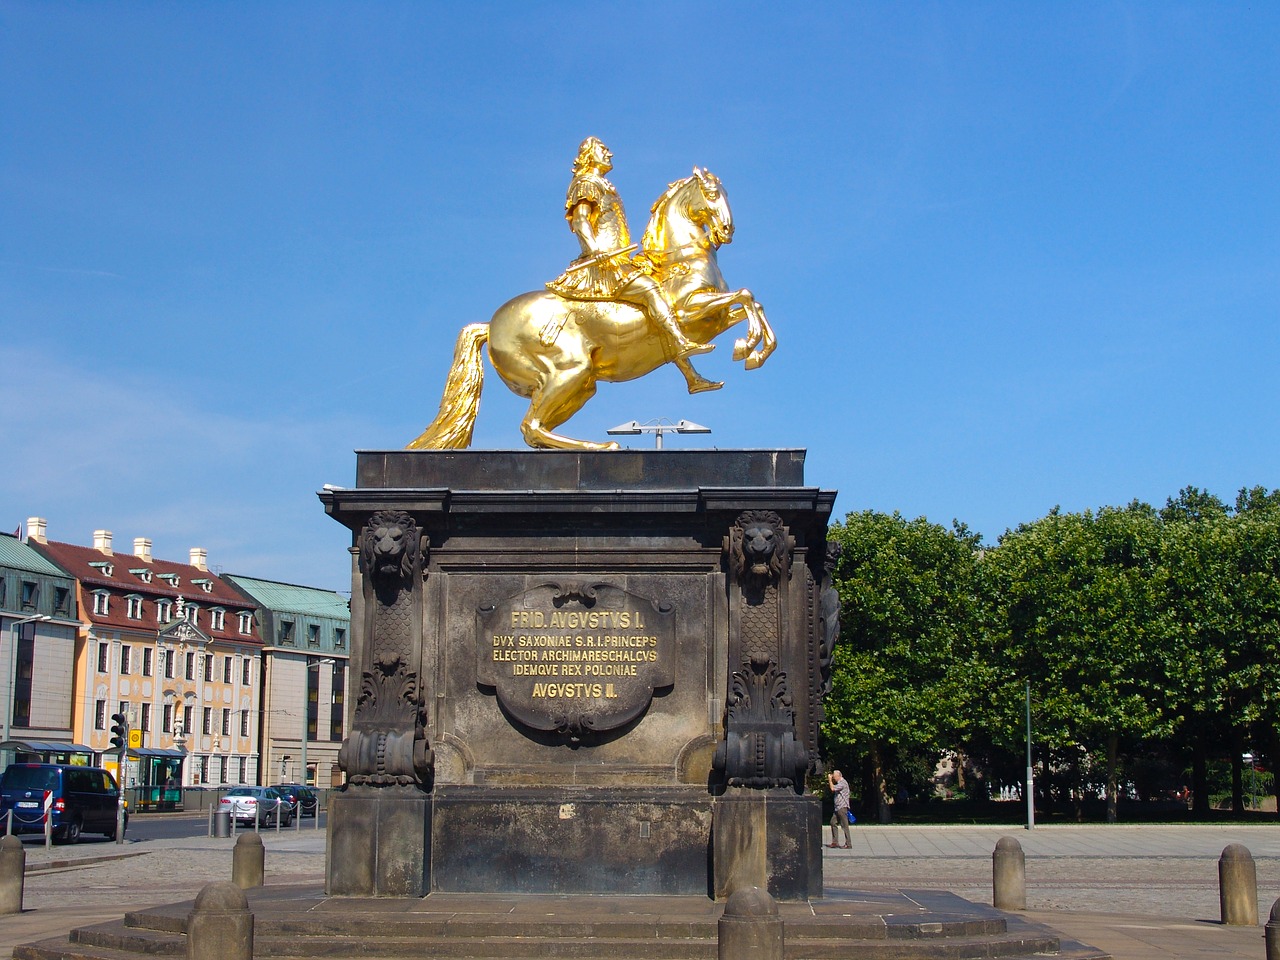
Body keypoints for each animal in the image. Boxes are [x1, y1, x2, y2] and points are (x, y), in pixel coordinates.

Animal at [404, 168, 773, 455]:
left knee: (536, 430)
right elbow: (743, 297)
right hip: (569, 371)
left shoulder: (714, 318)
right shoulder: (690, 313)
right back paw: (601, 446)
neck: (679, 259)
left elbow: (751, 303)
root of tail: (490, 325)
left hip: (580, 386)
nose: (727, 230)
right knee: (530, 426)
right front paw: (746, 348)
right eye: (711, 193)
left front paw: (750, 353)